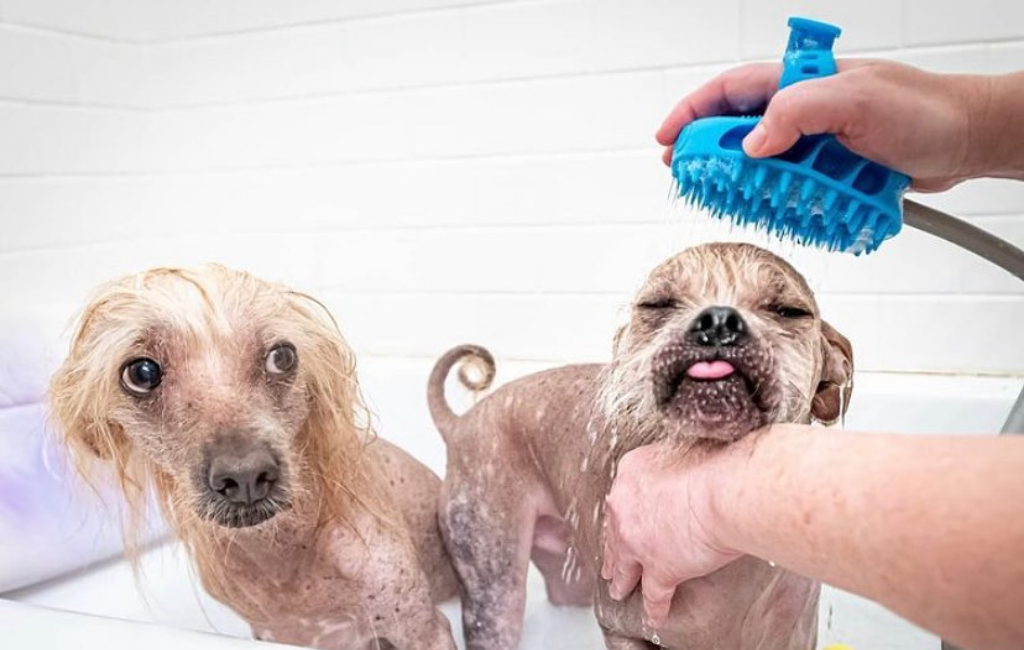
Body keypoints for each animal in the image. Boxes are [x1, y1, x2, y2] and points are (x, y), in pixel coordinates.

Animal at [49, 264, 458, 650]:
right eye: (142, 373)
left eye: (283, 356)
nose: (245, 475)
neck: (284, 553)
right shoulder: (273, 635)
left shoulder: (423, 630)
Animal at [428, 242, 851, 650]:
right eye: (657, 304)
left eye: (789, 311)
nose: (718, 320)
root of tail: (462, 422)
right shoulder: (622, 628)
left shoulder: (792, 636)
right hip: (492, 580)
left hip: (567, 568)